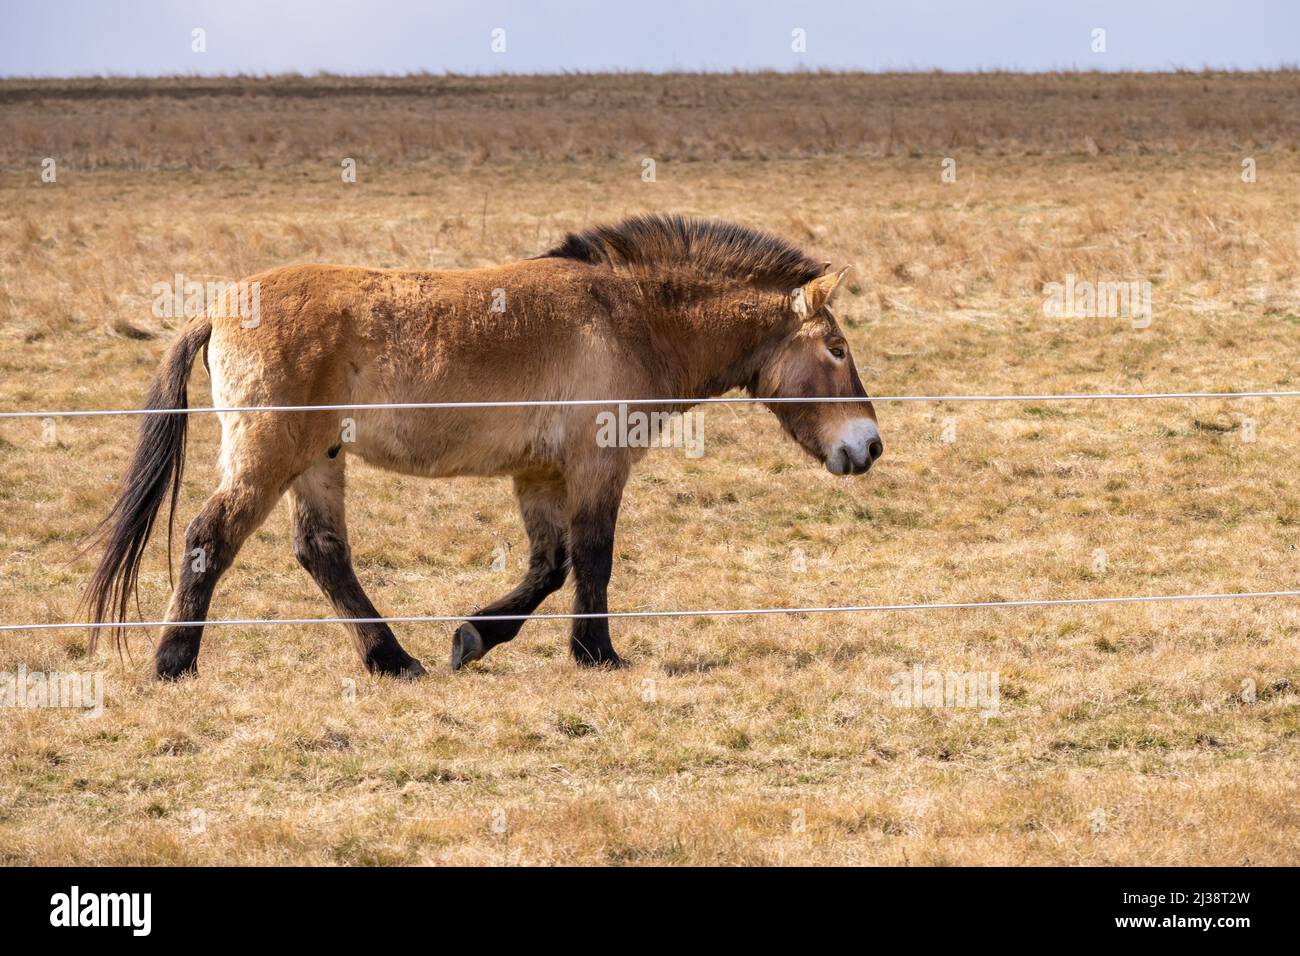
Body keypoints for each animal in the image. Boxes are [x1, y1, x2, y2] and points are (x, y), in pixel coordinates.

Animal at [83, 217, 883, 681]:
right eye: (837, 349)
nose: (870, 446)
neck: (630, 317)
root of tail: (219, 311)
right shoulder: (596, 463)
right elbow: (594, 557)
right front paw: (598, 655)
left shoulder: (541, 475)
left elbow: (550, 566)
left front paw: (473, 638)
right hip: (269, 456)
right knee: (208, 536)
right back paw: (172, 662)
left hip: (317, 462)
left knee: (322, 553)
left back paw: (393, 660)